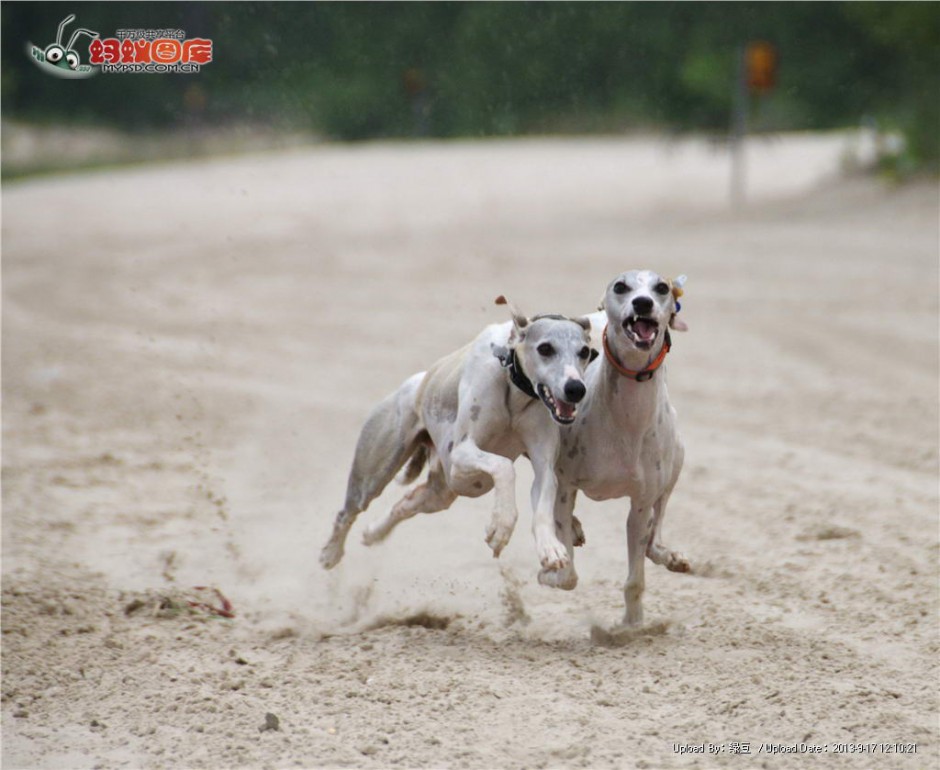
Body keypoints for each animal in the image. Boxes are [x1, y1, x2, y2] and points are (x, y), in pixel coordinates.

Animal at [320, 296, 592, 572]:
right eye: (545, 348)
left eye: (585, 352)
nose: (576, 389)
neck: (512, 383)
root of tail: (414, 383)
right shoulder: (460, 452)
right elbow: (504, 466)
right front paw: (501, 525)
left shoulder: (543, 463)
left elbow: (544, 497)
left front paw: (550, 548)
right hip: (380, 473)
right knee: (348, 511)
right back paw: (331, 553)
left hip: (445, 490)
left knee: (404, 504)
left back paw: (373, 533)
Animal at [536, 270, 692, 624]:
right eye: (621, 286)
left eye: (661, 288)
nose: (643, 302)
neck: (626, 419)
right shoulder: (565, 485)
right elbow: (568, 574)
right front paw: (549, 573)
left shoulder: (641, 505)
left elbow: (636, 578)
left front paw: (633, 623)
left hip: (676, 459)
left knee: (655, 534)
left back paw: (669, 555)